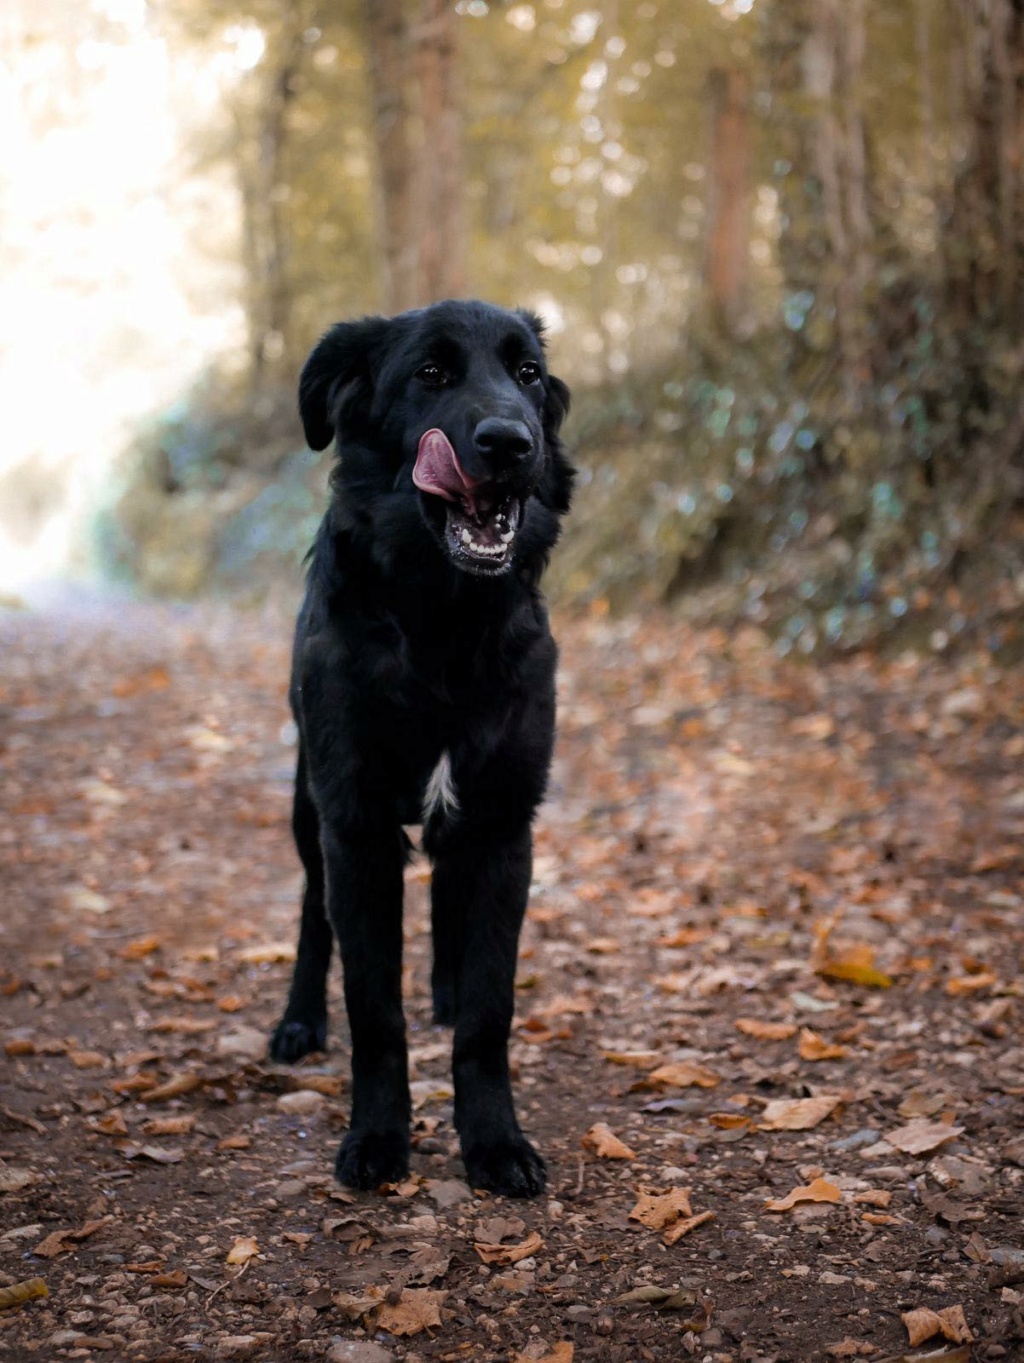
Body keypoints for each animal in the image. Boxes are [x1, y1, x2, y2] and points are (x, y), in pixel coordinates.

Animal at [272, 295, 572, 1193]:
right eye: (431, 373)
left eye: (528, 373)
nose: (511, 443)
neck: (444, 622)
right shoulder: (355, 825)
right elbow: (374, 1009)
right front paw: (377, 1136)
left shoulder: (504, 823)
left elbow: (488, 1008)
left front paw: (495, 1140)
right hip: (305, 808)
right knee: (312, 914)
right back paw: (298, 1020)